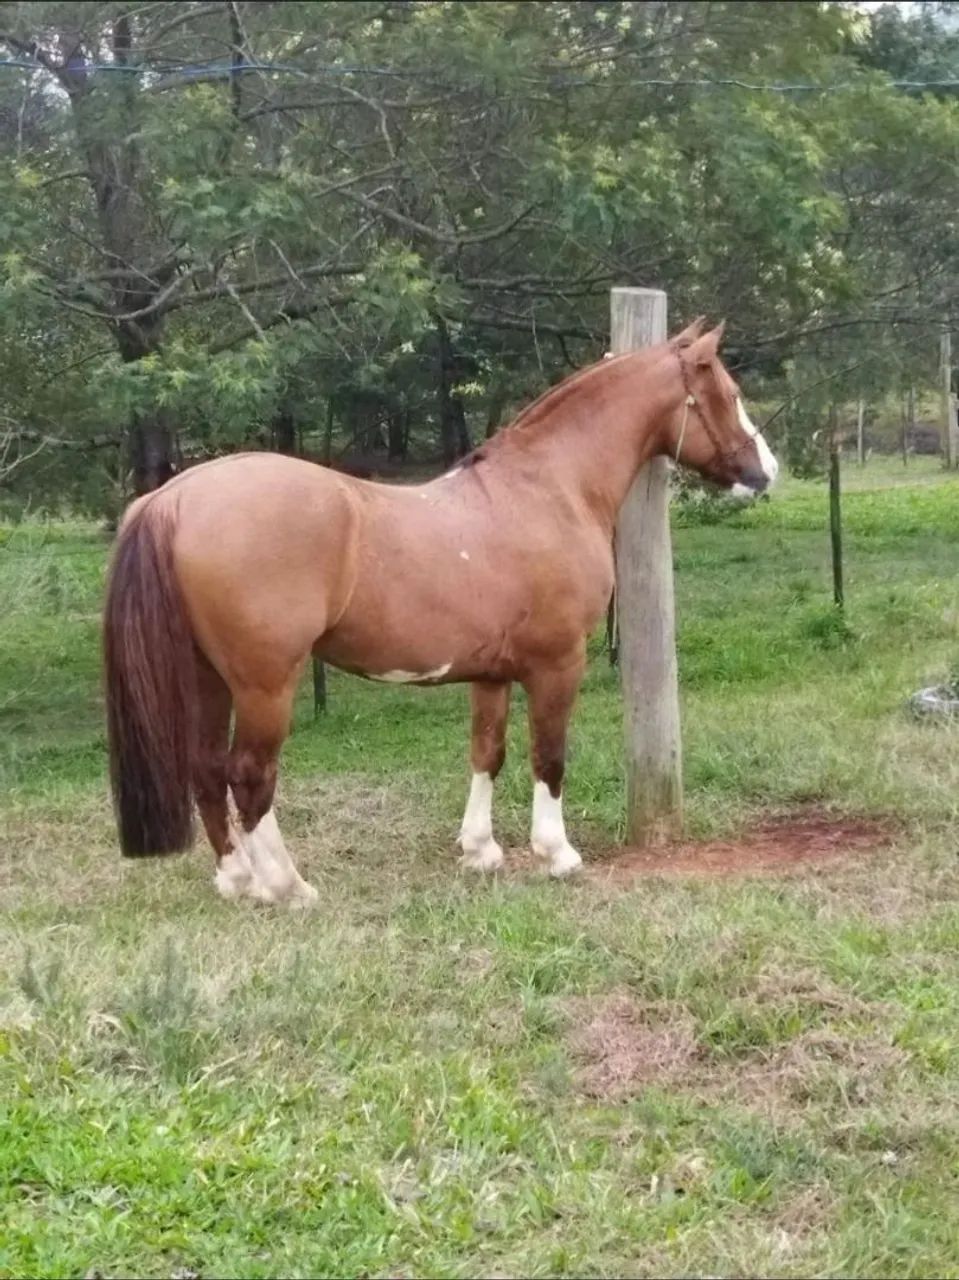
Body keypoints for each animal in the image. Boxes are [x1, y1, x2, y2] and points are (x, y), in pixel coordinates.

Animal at [103, 319, 777, 906]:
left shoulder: (492, 673)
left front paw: (480, 850)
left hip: (208, 678)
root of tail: (171, 499)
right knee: (249, 775)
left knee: (205, 768)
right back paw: (287, 886)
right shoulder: (558, 664)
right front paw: (556, 854)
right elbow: (548, 755)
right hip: (266, 684)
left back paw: (237, 879)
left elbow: (488, 752)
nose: (765, 471)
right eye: (729, 393)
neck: (548, 489)